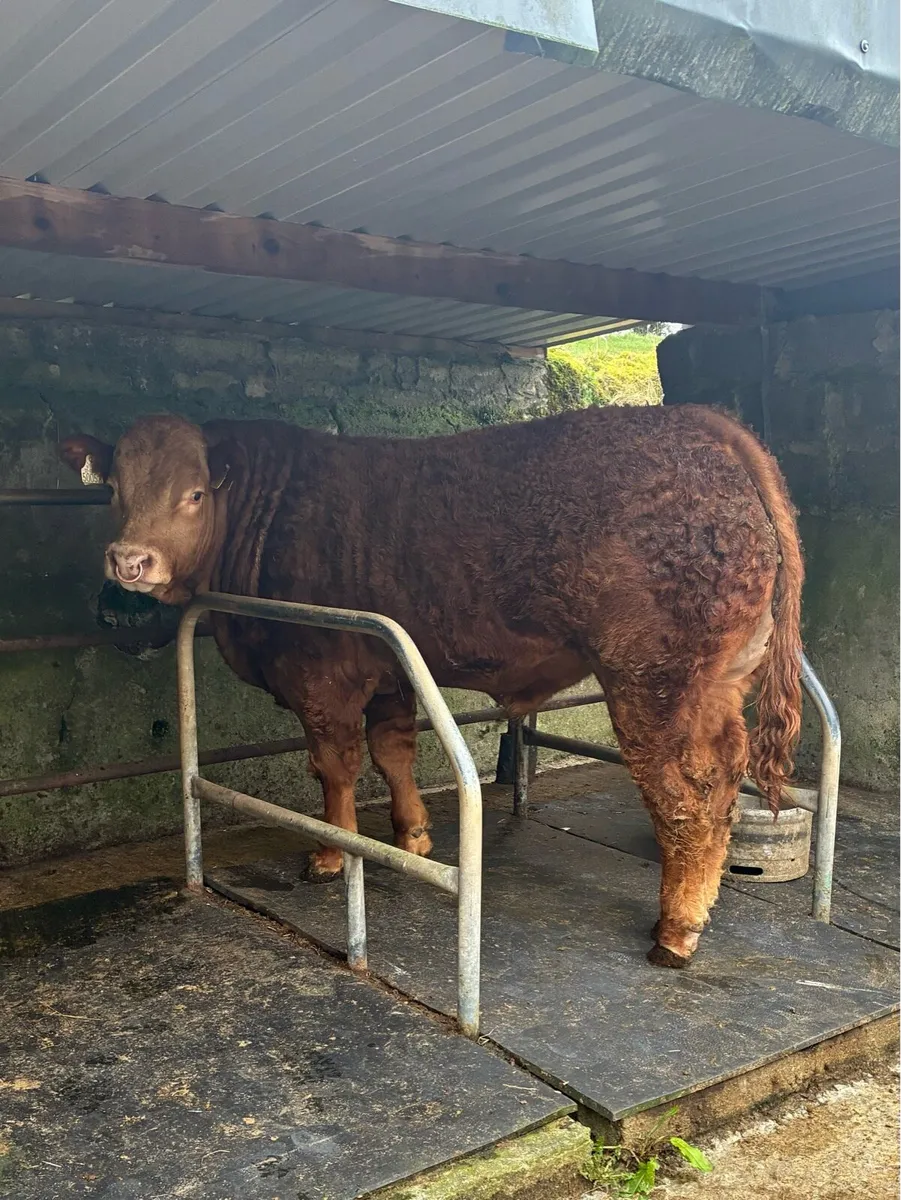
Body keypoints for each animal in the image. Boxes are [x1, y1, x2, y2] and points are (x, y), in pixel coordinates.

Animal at [59, 403, 803, 968]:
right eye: (115, 489)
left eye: (193, 493)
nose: (129, 560)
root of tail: (699, 421)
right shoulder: (390, 671)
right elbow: (393, 751)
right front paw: (412, 837)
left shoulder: (319, 675)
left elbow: (333, 767)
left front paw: (331, 854)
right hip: (717, 680)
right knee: (727, 772)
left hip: (656, 683)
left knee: (688, 793)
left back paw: (677, 930)